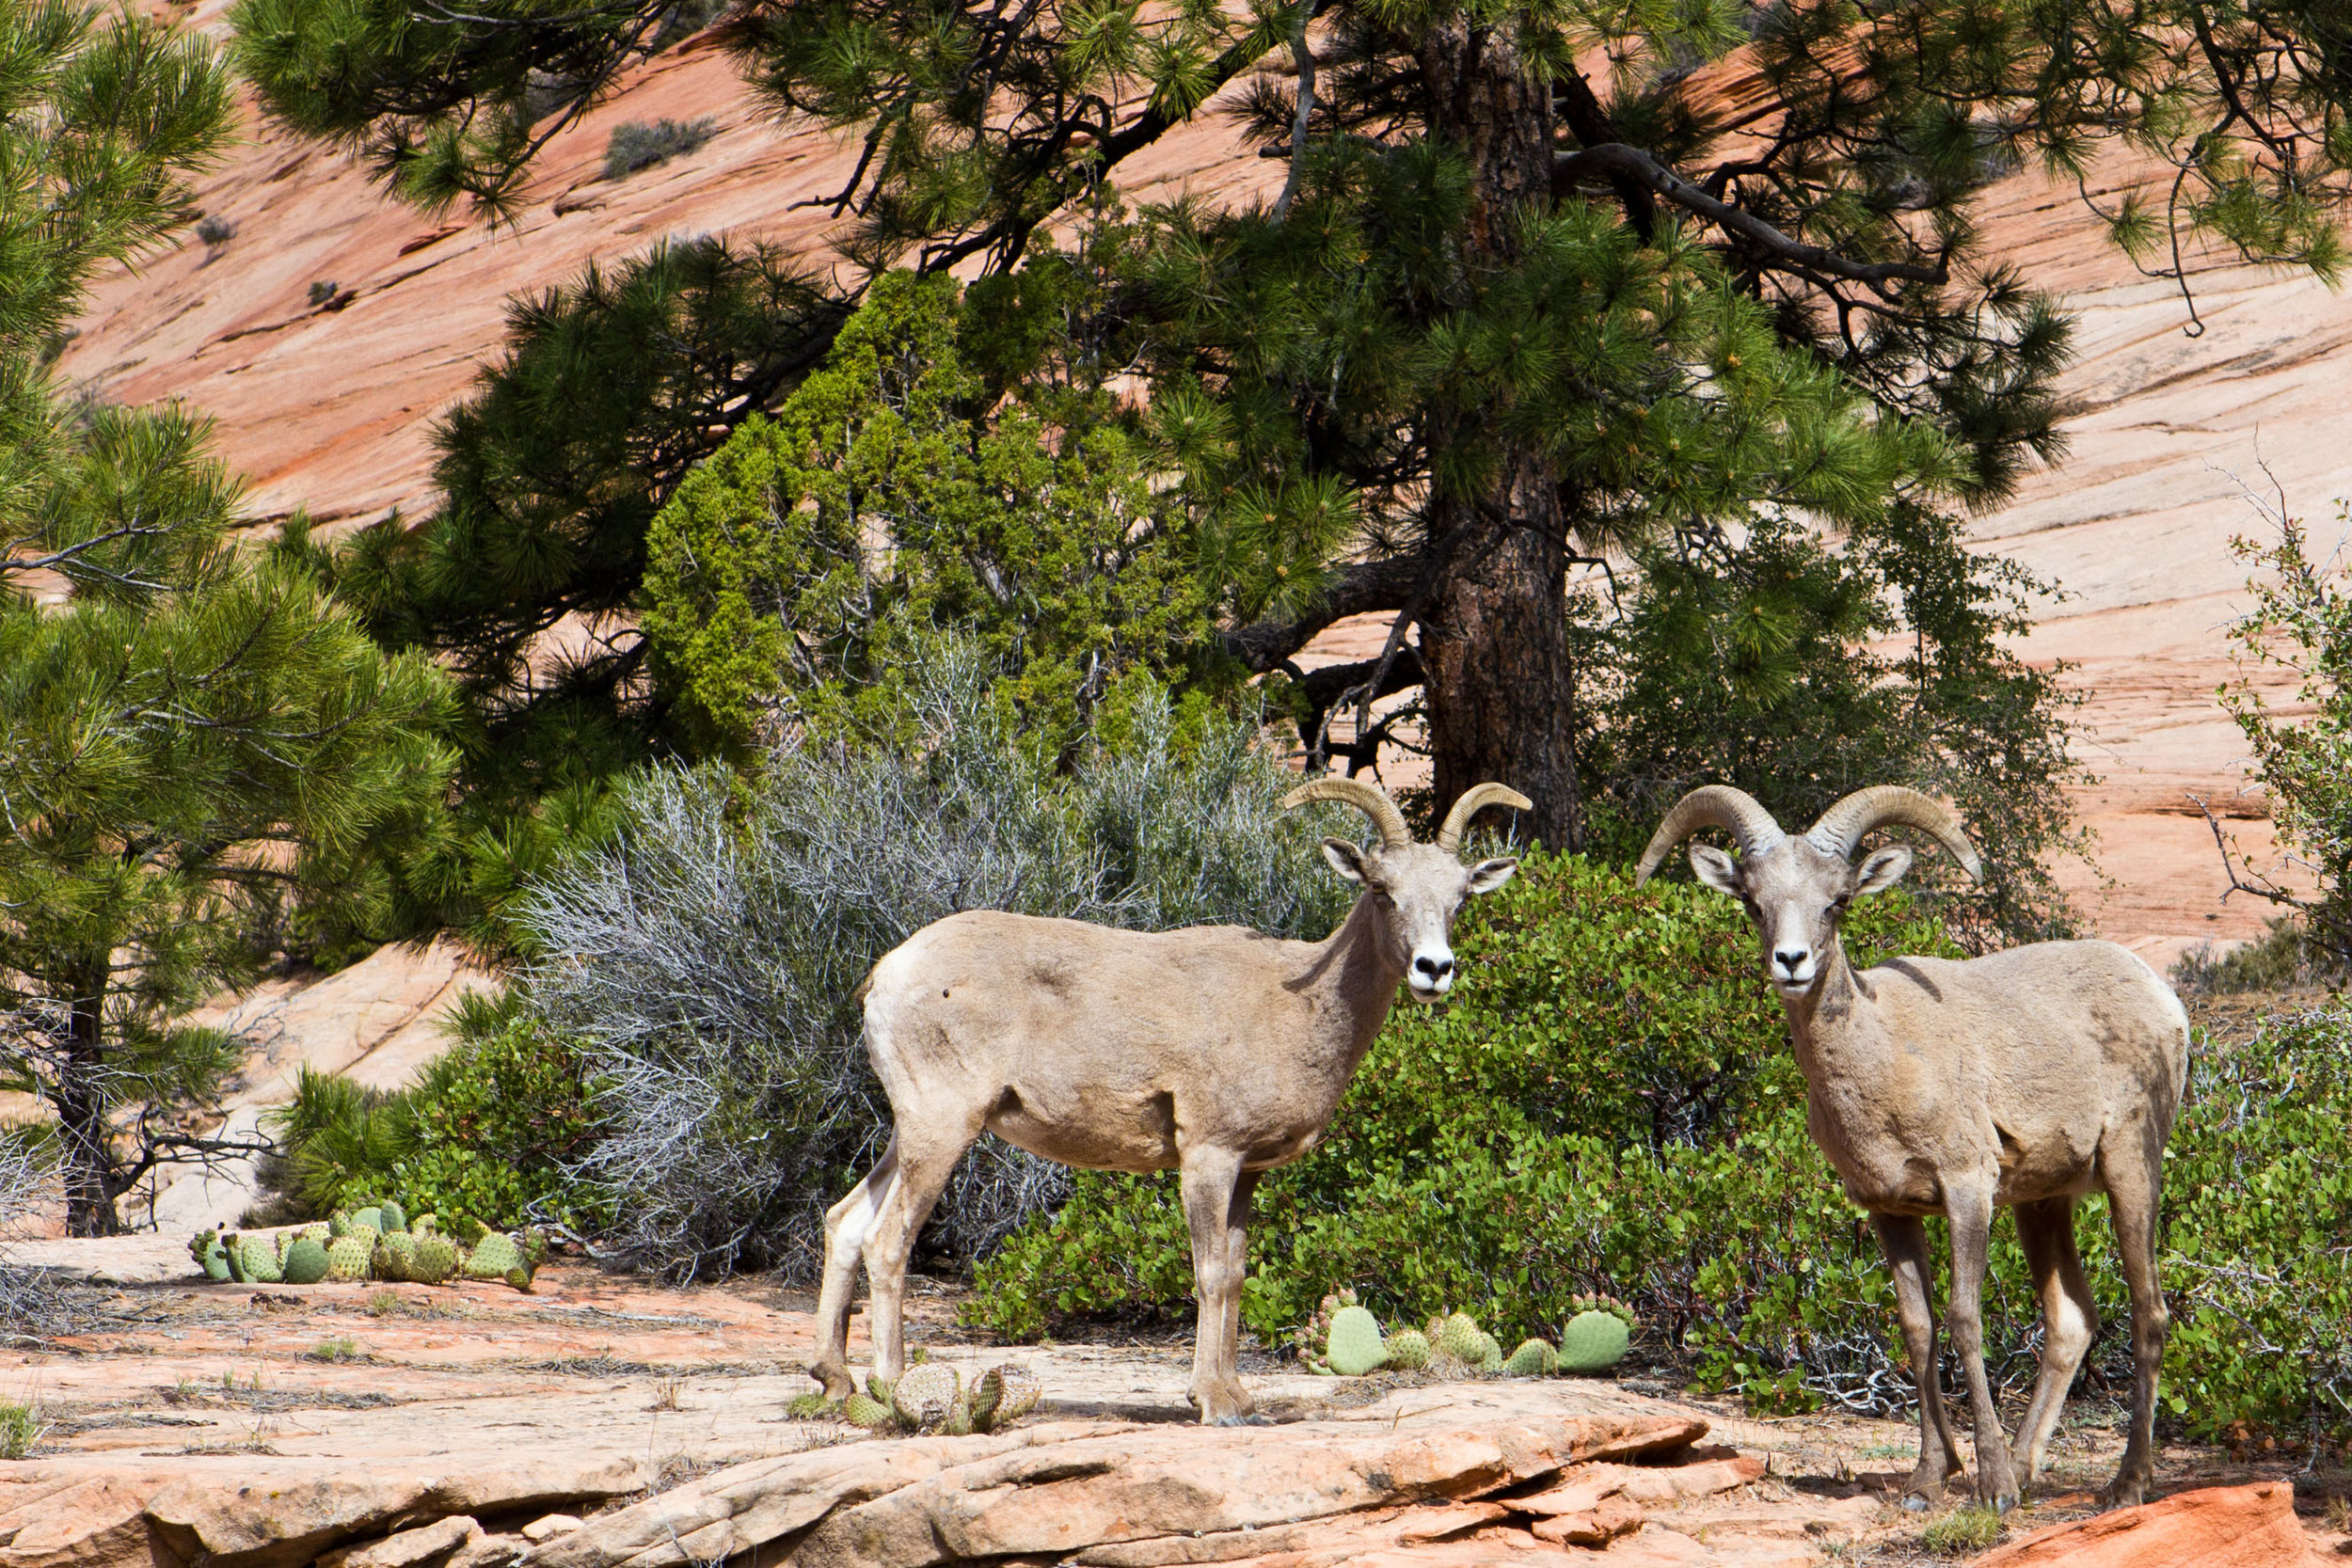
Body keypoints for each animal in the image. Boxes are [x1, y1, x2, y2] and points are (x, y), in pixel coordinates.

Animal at [809, 770, 1524, 1419]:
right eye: (1381, 889)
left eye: (1460, 896)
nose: (1434, 969)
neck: (1297, 1007)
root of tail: (886, 973)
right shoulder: (1208, 1155)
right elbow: (1209, 1273)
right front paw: (1212, 1403)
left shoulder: (1247, 1171)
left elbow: (1235, 1271)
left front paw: (1238, 1397)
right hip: (942, 1126)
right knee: (887, 1240)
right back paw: (890, 1388)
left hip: (911, 1130)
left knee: (845, 1222)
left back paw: (834, 1381)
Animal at [1637, 789, 2183, 1513]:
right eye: (1753, 901)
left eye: (1838, 900)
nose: (1791, 961)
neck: (1886, 1058)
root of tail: (2164, 998)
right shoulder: (1889, 1210)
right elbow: (1917, 1328)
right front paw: (1929, 1480)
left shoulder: (1967, 1190)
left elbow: (1964, 1320)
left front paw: (1992, 1490)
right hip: (2043, 1202)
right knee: (2071, 1320)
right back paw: (2029, 1467)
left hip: (2129, 1171)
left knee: (2150, 1314)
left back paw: (2127, 1483)